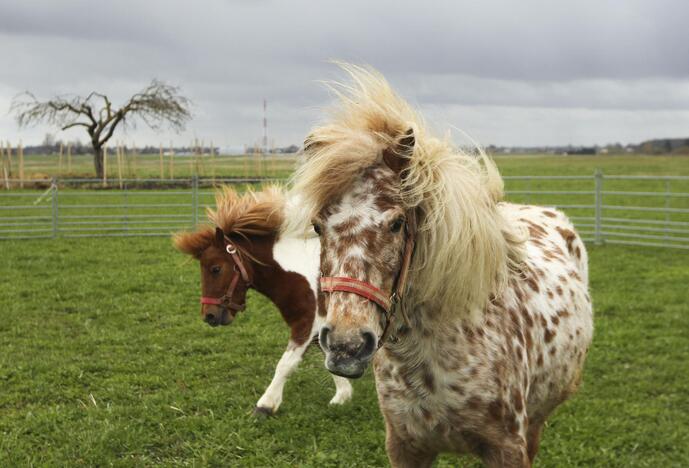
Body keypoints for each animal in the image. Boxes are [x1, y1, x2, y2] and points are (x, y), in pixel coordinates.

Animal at [175, 185, 352, 414]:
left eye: (216, 269)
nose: (209, 316)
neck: (305, 272)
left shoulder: (306, 324)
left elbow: (286, 364)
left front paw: (265, 405)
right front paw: (343, 395)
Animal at [290, 64, 592, 466]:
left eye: (397, 223)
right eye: (318, 226)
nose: (345, 346)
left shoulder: (507, 447)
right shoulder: (405, 446)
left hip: (535, 424)